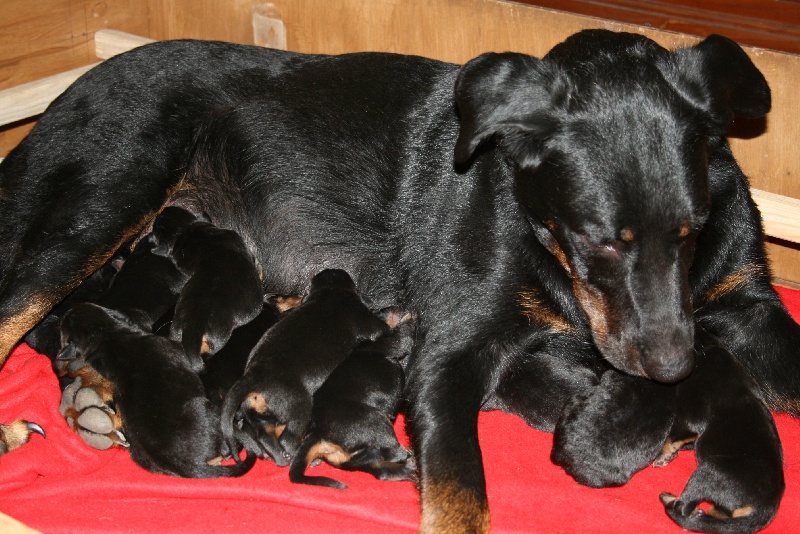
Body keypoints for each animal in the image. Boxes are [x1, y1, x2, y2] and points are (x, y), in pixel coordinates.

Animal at [222, 270, 390, 466]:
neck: (330, 291)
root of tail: (252, 377)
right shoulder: (364, 318)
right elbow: (381, 326)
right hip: (299, 408)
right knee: (288, 439)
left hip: (259, 415)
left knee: (265, 436)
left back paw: (281, 458)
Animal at [288, 316, 416, 492]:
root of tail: (318, 433)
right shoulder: (391, 342)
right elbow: (403, 334)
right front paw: (412, 316)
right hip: (375, 421)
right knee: (394, 453)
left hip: (356, 457)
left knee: (382, 470)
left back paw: (409, 468)